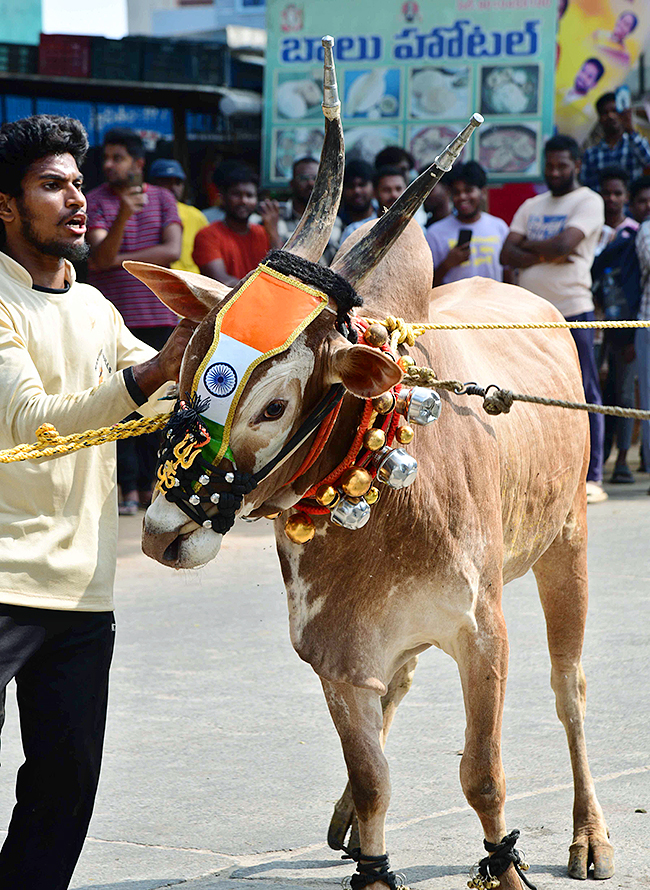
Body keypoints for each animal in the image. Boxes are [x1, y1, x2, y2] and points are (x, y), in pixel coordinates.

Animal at [128, 38, 612, 888]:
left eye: (274, 406)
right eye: (185, 367)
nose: (159, 534)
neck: (383, 496)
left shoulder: (482, 634)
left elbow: (483, 776)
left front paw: (505, 863)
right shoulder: (339, 659)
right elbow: (374, 777)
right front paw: (369, 845)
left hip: (567, 543)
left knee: (570, 689)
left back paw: (589, 833)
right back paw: (348, 824)